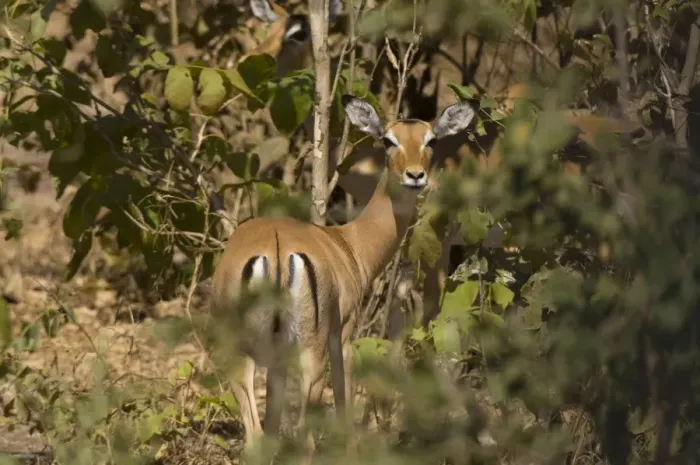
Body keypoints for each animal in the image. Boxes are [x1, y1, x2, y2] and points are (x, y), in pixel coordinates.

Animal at [209, 94, 476, 451]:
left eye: (430, 139)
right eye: (388, 140)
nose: (415, 175)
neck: (349, 244)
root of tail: (276, 248)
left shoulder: (279, 360)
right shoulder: (344, 336)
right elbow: (344, 408)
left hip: (242, 355)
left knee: (255, 439)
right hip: (311, 354)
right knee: (306, 437)